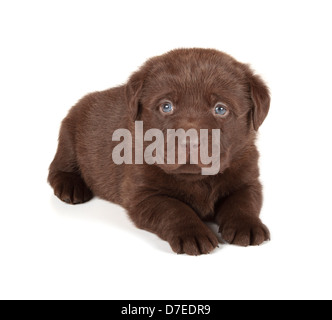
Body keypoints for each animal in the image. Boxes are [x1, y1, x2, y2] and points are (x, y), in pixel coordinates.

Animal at [48, 48, 270, 255]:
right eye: (166, 106)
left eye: (220, 109)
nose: (189, 140)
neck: (196, 178)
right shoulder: (143, 194)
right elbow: (173, 208)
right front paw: (193, 233)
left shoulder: (248, 178)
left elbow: (243, 201)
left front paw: (247, 225)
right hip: (69, 133)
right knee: (58, 167)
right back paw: (70, 187)